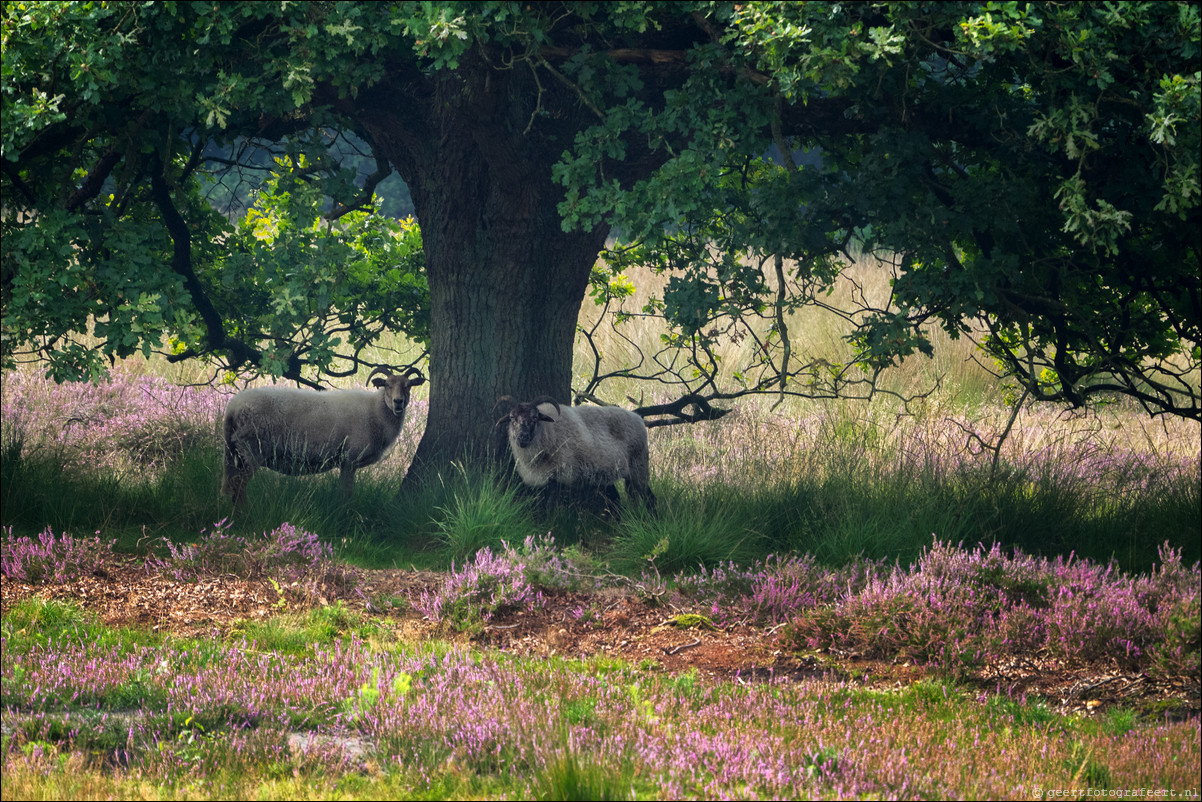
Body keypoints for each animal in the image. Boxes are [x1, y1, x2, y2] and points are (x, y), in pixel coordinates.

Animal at [222, 365, 427, 505]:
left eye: (408, 386)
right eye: (387, 385)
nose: (399, 402)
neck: (375, 412)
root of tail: (232, 408)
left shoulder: (346, 463)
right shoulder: (349, 459)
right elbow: (346, 493)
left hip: (236, 452)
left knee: (231, 483)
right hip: (252, 450)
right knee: (238, 484)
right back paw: (244, 513)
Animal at [504, 394, 663, 514]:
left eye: (535, 418)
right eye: (512, 418)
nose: (522, 437)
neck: (549, 432)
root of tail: (638, 418)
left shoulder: (558, 478)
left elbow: (550, 507)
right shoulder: (542, 481)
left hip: (639, 467)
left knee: (649, 498)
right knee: (619, 499)